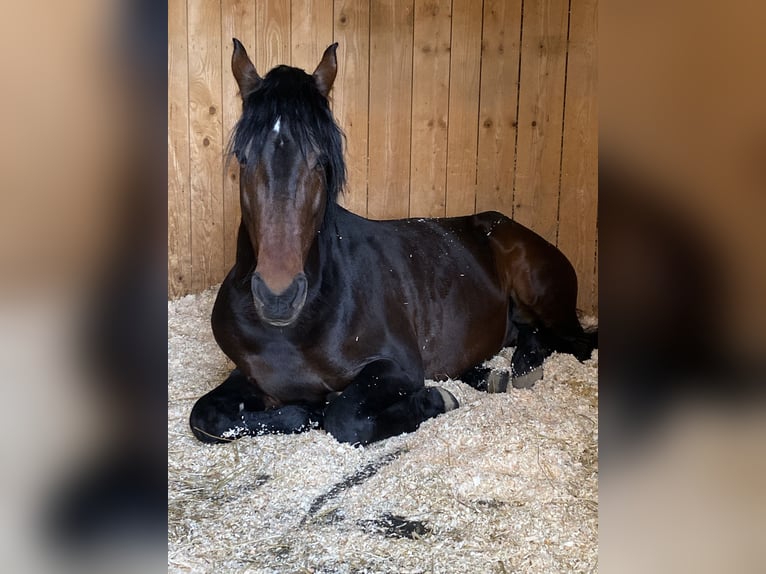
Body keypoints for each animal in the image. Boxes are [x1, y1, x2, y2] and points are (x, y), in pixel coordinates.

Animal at [189, 39, 596, 450]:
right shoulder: (248, 377)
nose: (278, 297)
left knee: (574, 342)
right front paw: (305, 411)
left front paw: (434, 399)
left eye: (320, 162)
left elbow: (343, 418)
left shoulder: (396, 367)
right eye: (243, 159)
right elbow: (206, 418)